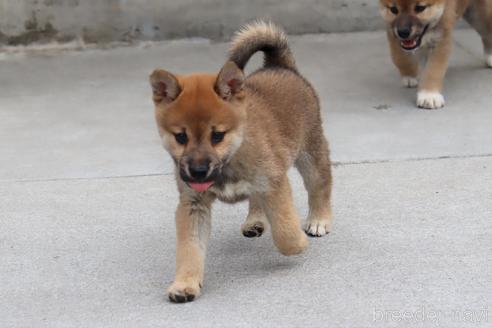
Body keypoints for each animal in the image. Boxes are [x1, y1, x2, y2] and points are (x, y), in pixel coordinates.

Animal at [150, 21, 332, 302]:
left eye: (217, 135)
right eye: (180, 137)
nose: (198, 172)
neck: (231, 159)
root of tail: (280, 66)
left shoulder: (273, 185)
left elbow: (284, 228)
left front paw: (297, 243)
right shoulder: (193, 205)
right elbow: (189, 249)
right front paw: (185, 283)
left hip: (310, 154)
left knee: (320, 186)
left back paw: (319, 219)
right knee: (255, 200)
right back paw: (255, 221)